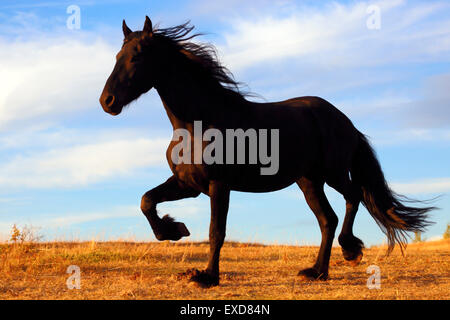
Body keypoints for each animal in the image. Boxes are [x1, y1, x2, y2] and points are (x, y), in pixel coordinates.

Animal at [100, 16, 434, 288]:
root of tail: (345, 121)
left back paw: (351, 250)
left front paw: (206, 277)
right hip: (309, 182)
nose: (107, 101)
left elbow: (216, 231)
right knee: (328, 219)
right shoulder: (188, 185)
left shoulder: (219, 185)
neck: (199, 123)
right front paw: (175, 230)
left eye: (137, 56)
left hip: (333, 173)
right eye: (117, 56)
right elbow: (147, 201)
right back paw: (317, 272)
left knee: (353, 198)